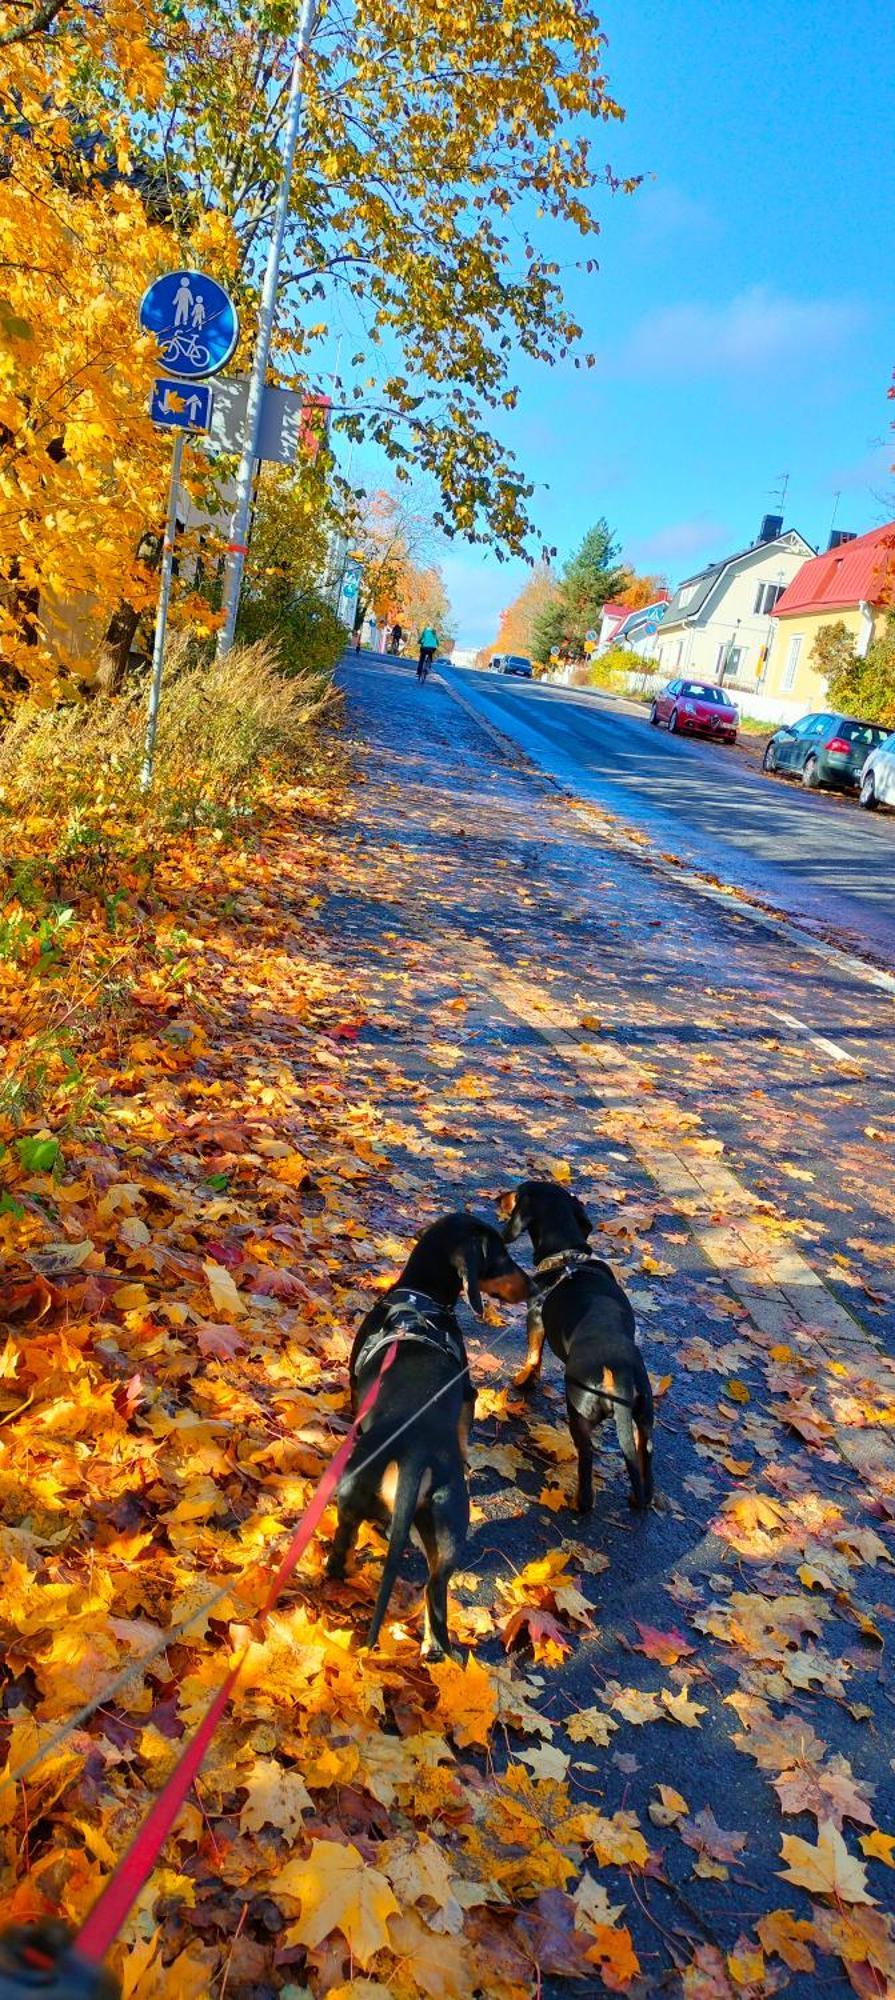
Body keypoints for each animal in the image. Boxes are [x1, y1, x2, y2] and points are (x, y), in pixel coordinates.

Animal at [327, 1216, 523, 1656]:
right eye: (501, 1254)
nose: (534, 1285)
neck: (419, 1299)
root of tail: (412, 1455)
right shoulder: (469, 1395)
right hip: (448, 1529)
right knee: (435, 1593)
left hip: (359, 1503)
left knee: (345, 1556)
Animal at [499, 1168, 655, 1512]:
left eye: (518, 1192)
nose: (498, 1197)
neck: (567, 1256)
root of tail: (618, 1375)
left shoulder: (535, 1317)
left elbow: (533, 1355)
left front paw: (524, 1381)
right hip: (644, 1418)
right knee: (645, 1454)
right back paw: (640, 1498)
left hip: (579, 1415)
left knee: (586, 1460)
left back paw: (580, 1502)